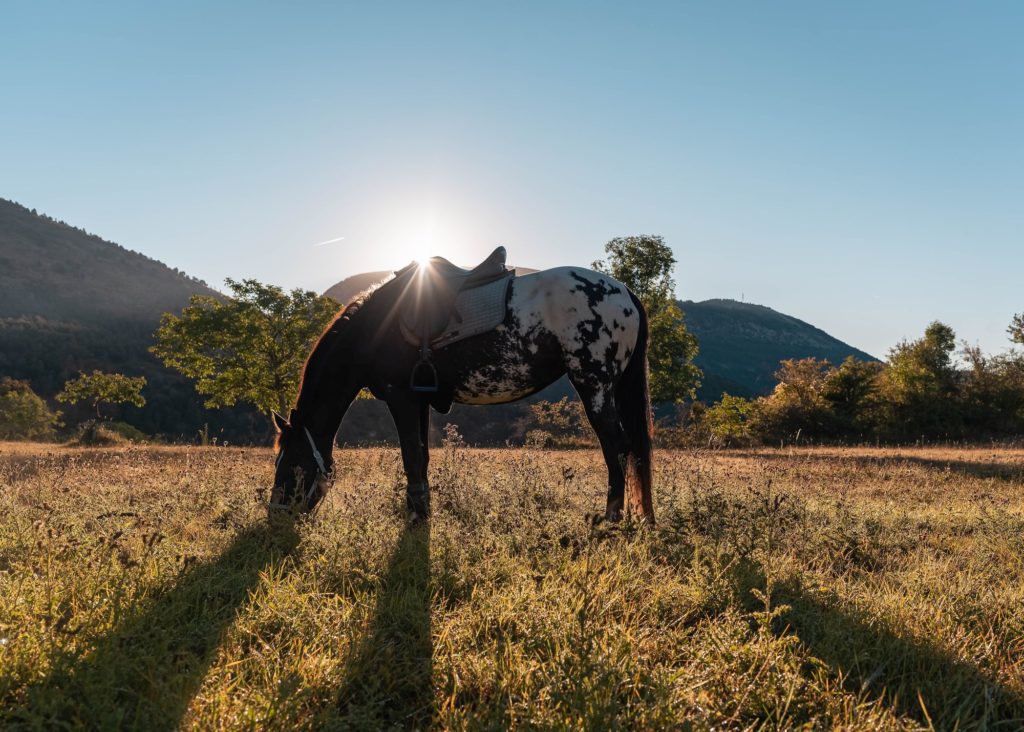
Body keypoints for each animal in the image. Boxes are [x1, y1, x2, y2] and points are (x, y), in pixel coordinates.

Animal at [270, 248, 655, 524]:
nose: (276, 517)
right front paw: (422, 512)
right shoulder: (419, 401)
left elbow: (411, 457)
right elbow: (422, 457)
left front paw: (416, 518)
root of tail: (625, 293)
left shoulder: (401, 397)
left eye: (291, 464)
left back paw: (611, 519)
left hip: (594, 387)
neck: (375, 328)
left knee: (617, 447)